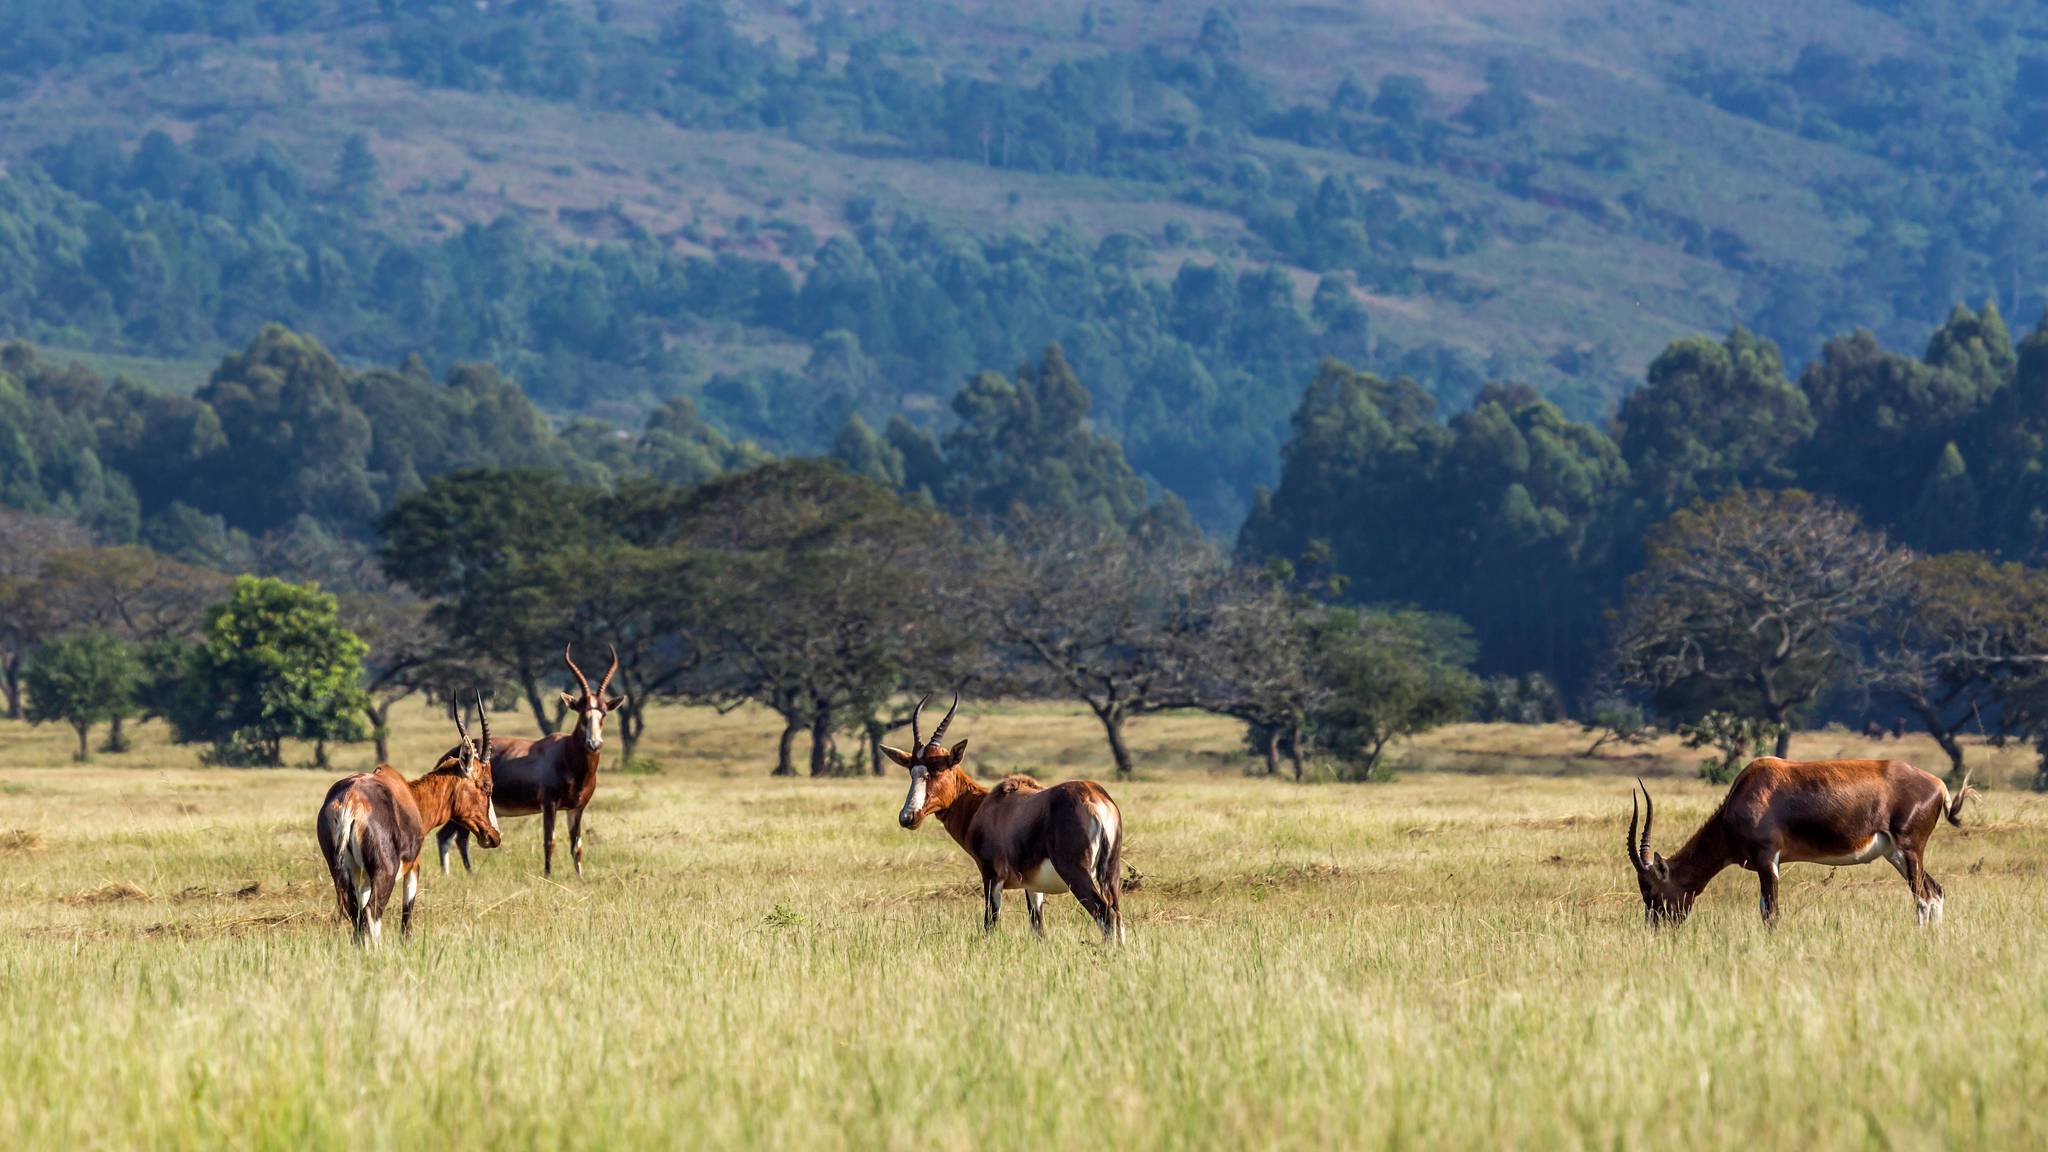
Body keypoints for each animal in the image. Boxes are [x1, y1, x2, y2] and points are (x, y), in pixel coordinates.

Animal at [317, 688, 501, 942]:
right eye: (486, 785)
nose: (494, 836)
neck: (410, 796)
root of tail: (350, 800)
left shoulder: (361, 876)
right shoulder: (413, 866)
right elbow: (407, 918)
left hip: (342, 872)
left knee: (357, 916)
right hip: (384, 872)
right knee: (372, 912)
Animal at [434, 639, 618, 873]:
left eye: (603, 713)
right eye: (582, 713)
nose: (594, 744)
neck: (566, 755)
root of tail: (448, 755)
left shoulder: (577, 808)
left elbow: (576, 847)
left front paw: (580, 878)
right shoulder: (549, 805)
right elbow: (549, 842)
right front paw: (548, 876)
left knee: (454, 838)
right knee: (449, 837)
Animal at [884, 688, 1130, 942]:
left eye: (938, 769)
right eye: (912, 771)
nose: (908, 817)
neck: (986, 805)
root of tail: (1094, 798)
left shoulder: (992, 876)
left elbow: (989, 924)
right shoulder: (1033, 886)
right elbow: (1038, 928)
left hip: (1076, 873)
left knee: (1106, 915)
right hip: (1111, 874)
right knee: (1118, 916)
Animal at [1630, 754, 1966, 922]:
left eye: (1652, 891)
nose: (1657, 930)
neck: (1750, 788)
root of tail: (1937, 784)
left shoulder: (1767, 858)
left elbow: (1771, 912)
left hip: (1909, 851)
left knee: (1924, 897)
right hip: (1897, 855)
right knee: (1935, 892)